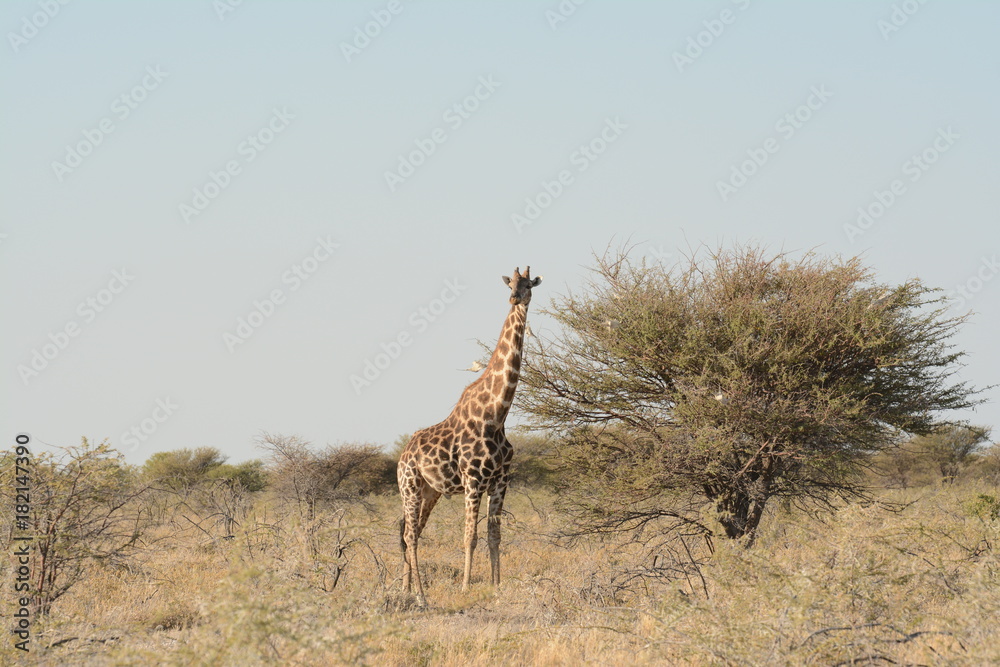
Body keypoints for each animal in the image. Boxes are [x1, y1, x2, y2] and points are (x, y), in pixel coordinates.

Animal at [397, 266, 542, 606]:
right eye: (511, 283)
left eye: (529, 285)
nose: (515, 298)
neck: (497, 413)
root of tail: (403, 455)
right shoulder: (473, 481)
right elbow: (469, 537)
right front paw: (465, 587)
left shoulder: (501, 480)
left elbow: (494, 535)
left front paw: (497, 586)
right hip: (409, 487)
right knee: (409, 535)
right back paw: (420, 595)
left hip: (430, 492)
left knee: (414, 532)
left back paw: (406, 589)